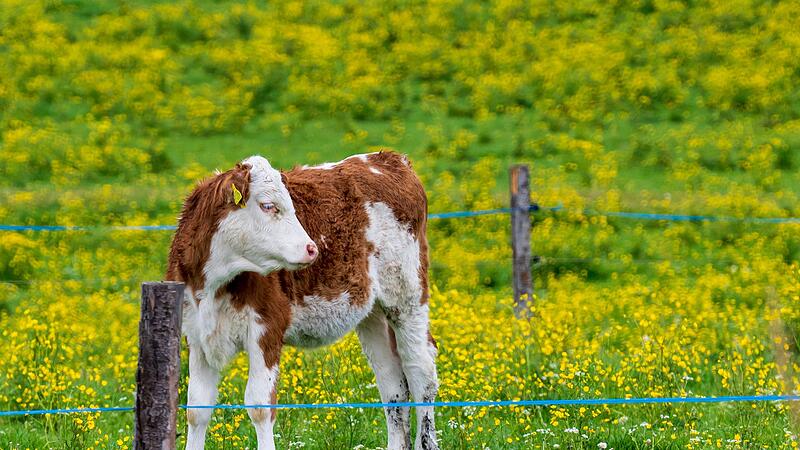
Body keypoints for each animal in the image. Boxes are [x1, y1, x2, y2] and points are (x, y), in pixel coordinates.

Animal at [166, 151, 439, 450]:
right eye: (267, 205)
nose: (312, 248)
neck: (213, 285)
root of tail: (389, 158)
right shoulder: (196, 334)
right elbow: (197, 409)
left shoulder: (267, 328)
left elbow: (260, 407)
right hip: (373, 314)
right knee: (392, 383)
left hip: (407, 297)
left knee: (420, 371)